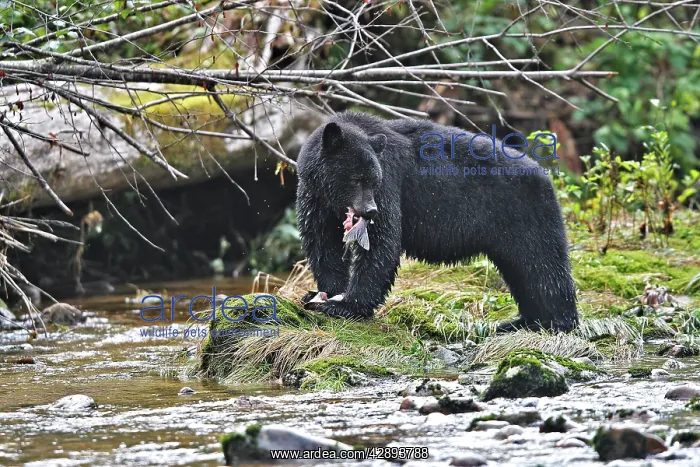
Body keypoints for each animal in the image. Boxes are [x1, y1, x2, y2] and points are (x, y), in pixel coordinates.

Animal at [295, 111, 578, 332]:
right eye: (356, 179)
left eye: (373, 180)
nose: (370, 211)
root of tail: (545, 175)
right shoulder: (315, 198)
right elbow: (322, 242)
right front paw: (324, 293)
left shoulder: (389, 185)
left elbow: (381, 243)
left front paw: (345, 304)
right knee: (523, 273)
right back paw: (522, 322)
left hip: (527, 215)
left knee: (543, 266)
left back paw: (557, 323)